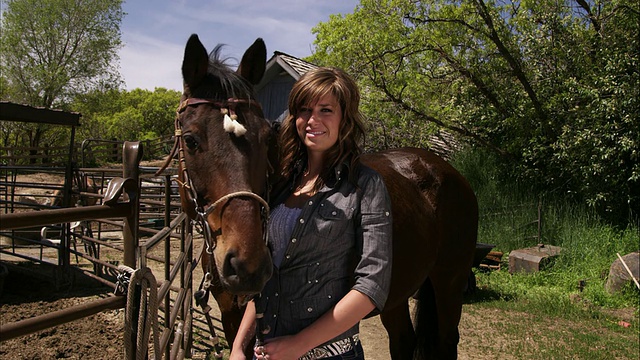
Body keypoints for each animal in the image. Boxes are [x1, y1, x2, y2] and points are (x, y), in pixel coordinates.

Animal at [168, 34, 478, 360]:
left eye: (267, 138)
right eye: (190, 140)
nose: (248, 265)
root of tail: (448, 171)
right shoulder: (232, 317)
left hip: (449, 283)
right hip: (396, 291)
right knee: (403, 339)